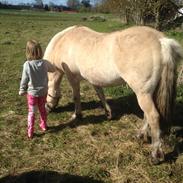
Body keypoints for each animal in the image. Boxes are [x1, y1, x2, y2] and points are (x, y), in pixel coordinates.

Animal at [43, 25, 182, 164]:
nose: (47, 109)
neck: (63, 41)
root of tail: (161, 41)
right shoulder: (93, 78)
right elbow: (100, 93)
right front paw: (108, 113)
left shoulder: (72, 78)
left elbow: (76, 96)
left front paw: (76, 115)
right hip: (148, 93)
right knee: (147, 115)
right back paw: (140, 134)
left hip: (143, 94)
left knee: (153, 116)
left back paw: (155, 154)